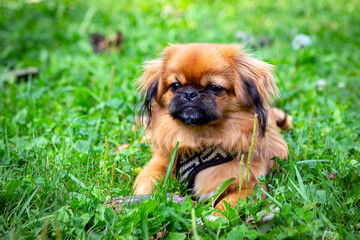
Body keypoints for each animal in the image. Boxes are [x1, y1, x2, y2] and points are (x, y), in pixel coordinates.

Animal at [134, 42, 292, 212]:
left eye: (214, 88)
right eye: (175, 86)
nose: (189, 93)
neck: (199, 138)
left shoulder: (251, 186)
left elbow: (226, 204)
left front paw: (215, 216)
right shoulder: (159, 163)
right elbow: (147, 183)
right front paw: (141, 202)